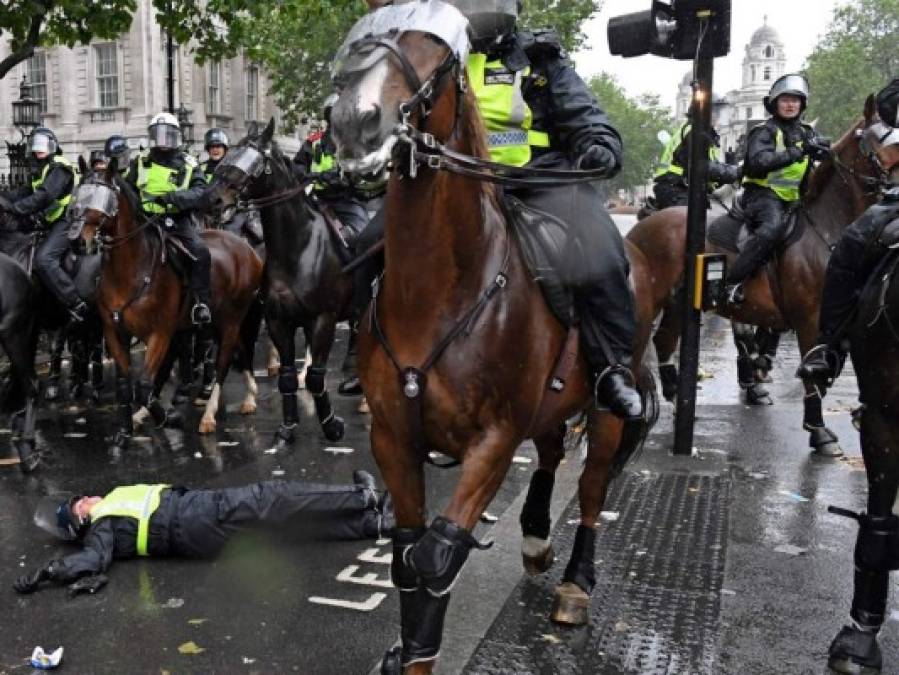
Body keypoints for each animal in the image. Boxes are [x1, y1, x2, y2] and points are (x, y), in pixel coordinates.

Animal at [76, 163, 264, 448]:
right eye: (79, 193)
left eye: (103, 197)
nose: (77, 238)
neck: (132, 268)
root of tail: (247, 249)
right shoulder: (115, 333)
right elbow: (126, 385)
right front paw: (126, 430)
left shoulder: (160, 333)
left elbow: (144, 384)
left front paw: (167, 418)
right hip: (214, 322)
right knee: (240, 351)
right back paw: (250, 396)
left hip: (230, 320)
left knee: (223, 363)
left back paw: (208, 416)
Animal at [214, 121, 352, 448]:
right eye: (232, 152)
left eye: (252, 160)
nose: (214, 199)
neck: (298, 249)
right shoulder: (279, 320)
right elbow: (287, 376)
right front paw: (287, 428)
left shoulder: (324, 319)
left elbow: (316, 376)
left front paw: (331, 425)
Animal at [628, 99, 888, 460]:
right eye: (877, 143)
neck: (827, 231)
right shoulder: (809, 319)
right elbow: (806, 369)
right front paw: (819, 432)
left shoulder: (838, 323)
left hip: (679, 303)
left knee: (664, 341)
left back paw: (677, 395)